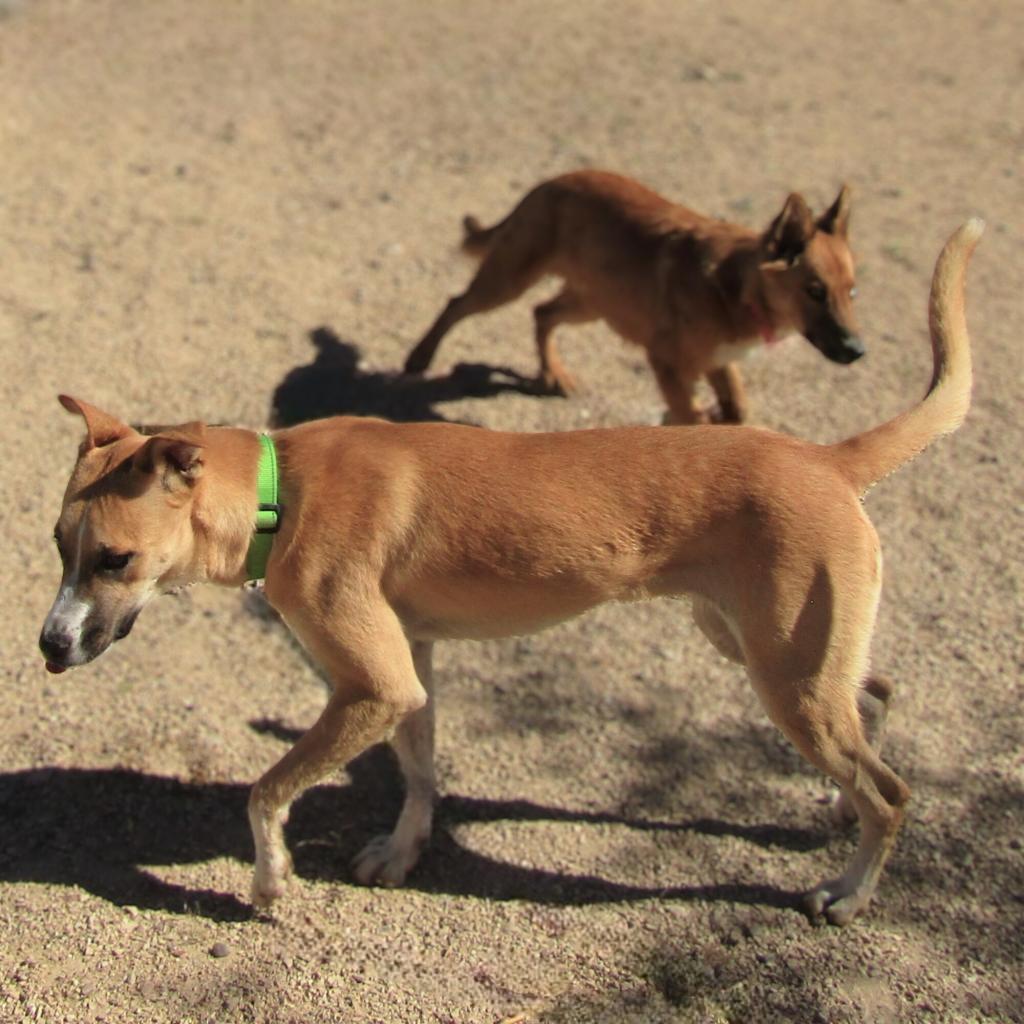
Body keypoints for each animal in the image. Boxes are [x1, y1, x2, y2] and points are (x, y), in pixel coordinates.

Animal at [41, 220, 983, 925]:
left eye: (115, 559)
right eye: (57, 547)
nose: (48, 648)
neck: (285, 490)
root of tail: (826, 458)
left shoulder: (371, 685)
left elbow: (265, 792)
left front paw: (271, 882)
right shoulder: (409, 670)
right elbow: (421, 771)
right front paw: (403, 851)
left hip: (782, 672)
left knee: (893, 792)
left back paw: (849, 891)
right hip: (761, 644)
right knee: (874, 696)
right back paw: (839, 809)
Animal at [403, 172, 860, 423]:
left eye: (852, 291)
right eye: (815, 291)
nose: (858, 350)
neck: (734, 287)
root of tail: (550, 184)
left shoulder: (718, 360)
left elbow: (735, 410)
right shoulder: (666, 362)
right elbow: (692, 417)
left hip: (595, 303)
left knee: (542, 313)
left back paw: (554, 372)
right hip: (510, 279)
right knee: (457, 304)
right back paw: (419, 358)